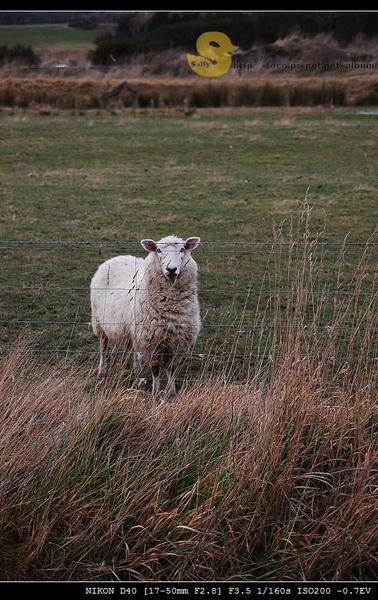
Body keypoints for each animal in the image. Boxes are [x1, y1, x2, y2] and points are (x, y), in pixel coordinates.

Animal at [89, 237, 201, 400]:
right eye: (158, 250)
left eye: (182, 249)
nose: (171, 269)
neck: (171, 308)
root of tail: (118, 257)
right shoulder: (151, 341)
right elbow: (155, 369)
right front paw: (156, 393)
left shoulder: (177, 341)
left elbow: (172, 369)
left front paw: (172, 394)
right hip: (99, 322)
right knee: (103, 347)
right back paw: (102, 372)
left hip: (135, 331)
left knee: (135, 352)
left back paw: (137, 373)